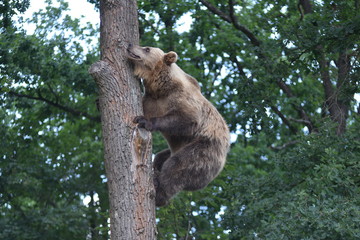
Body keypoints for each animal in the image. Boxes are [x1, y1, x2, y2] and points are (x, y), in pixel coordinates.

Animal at [126, 44, 229, 206]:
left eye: (147, 48)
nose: (130, 45)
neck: (160, 88)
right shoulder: (151, 101)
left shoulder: (182, 100)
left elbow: (186, 119)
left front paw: (144, 121)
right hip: (176, 148)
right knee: (160, 158)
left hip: (205, 149)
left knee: (177, 166)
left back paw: (159, 193)